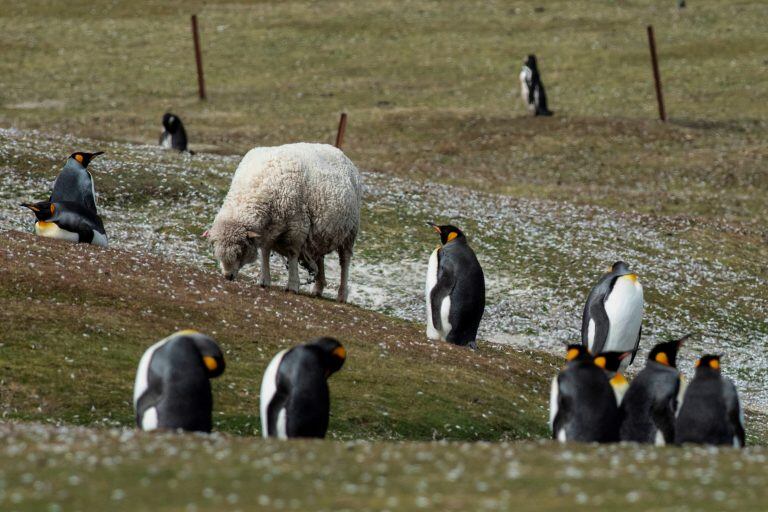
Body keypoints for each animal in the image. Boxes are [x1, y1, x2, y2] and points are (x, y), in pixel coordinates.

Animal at [208, 142, 362, 302]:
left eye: (239, 252)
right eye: (216, 253)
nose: (228, 276)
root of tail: (339, 151)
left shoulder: (297, 228)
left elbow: (292, 254)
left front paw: (293, 285)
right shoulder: (267, 232)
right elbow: (265, 252)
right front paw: (264, 280)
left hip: (350, 233)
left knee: (344, 261)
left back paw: (342, 294)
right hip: (321, 233)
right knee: (319, 256)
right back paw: (318, 288)